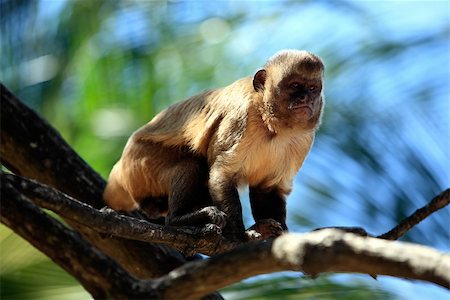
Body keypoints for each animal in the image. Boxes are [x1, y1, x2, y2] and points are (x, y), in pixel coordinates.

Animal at [103, 49, 326, 241]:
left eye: (312, 88)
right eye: (295, 85)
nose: (306, 98)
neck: (270, 125)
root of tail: (121, 165)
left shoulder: (304, 139)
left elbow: (268, 187)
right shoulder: (242, 117)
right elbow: (222, 174)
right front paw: (239, 237)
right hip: (140, 165)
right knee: (192, 163)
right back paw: (177, 220)